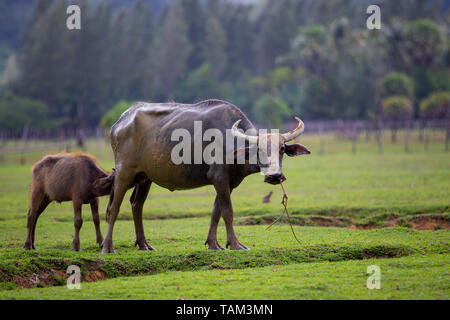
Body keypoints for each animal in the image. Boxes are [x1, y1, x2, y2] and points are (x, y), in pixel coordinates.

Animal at [103, 99, 310, 254]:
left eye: (281, 149)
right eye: (258, 150)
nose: (274, 176)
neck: (232, 143)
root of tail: (120, 122)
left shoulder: (229, 183)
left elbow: (216, 212)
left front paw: (214, 244)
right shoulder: (219, 178)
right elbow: (228, 212)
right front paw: (235, 244)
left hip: (145, 177)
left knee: (136, 205)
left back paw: (144, 244)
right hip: (123, 172)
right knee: (114, 208)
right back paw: (107, 247)